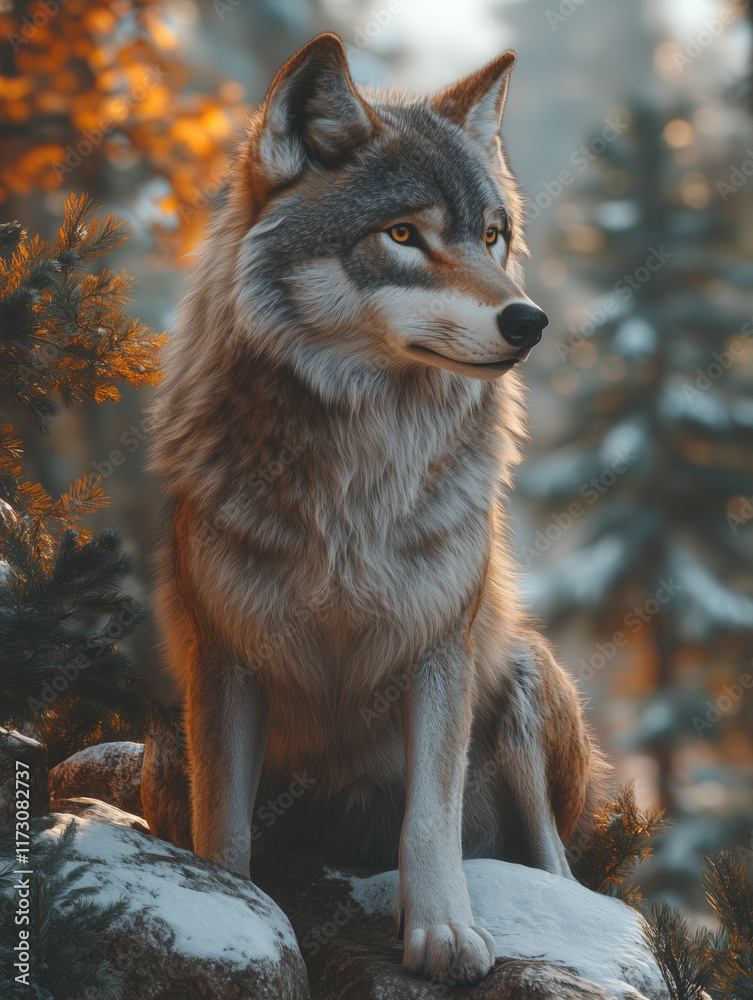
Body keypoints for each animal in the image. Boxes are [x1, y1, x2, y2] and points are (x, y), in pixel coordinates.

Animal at [142, 33, 609, 987]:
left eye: (492, 236)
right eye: (403, 235)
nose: (530, 320)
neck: (358, 483)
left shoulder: (438, 647)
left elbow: (427, 817)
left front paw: (442, 934)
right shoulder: (225, 658)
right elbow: (224, 829)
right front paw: (232, 909)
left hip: (524, 674)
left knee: (558, 864)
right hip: (165, 740)